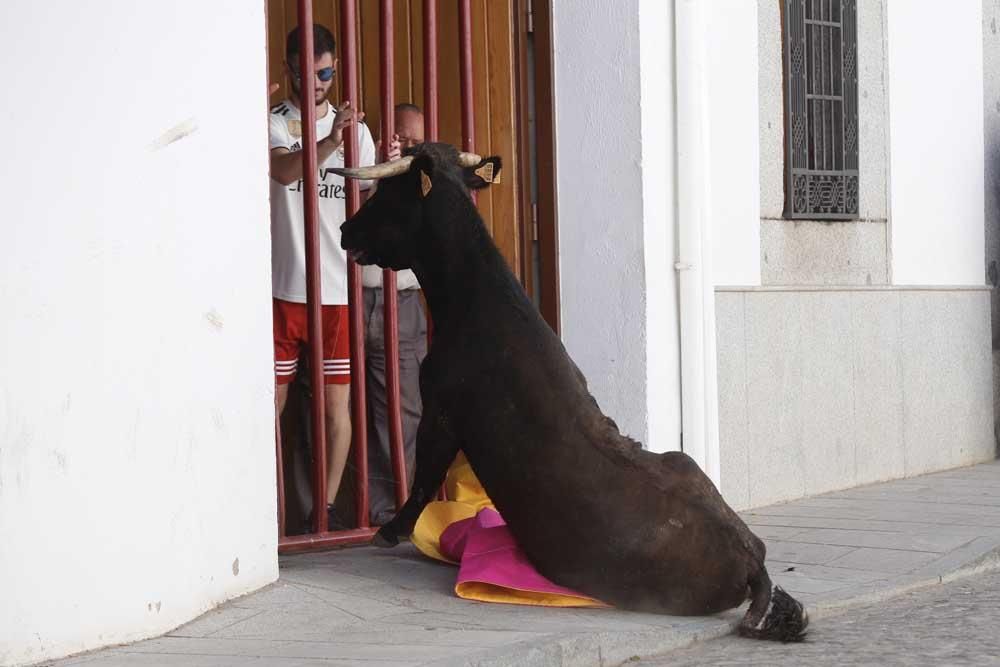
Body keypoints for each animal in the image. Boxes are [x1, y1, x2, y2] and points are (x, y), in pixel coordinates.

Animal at [336, 145, 804, 640]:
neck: (476, 300)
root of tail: (751, 561)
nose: (346, 230)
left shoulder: (441, 410)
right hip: (685, 462)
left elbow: (425, 473)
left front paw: (390, 530)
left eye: (388, 191)